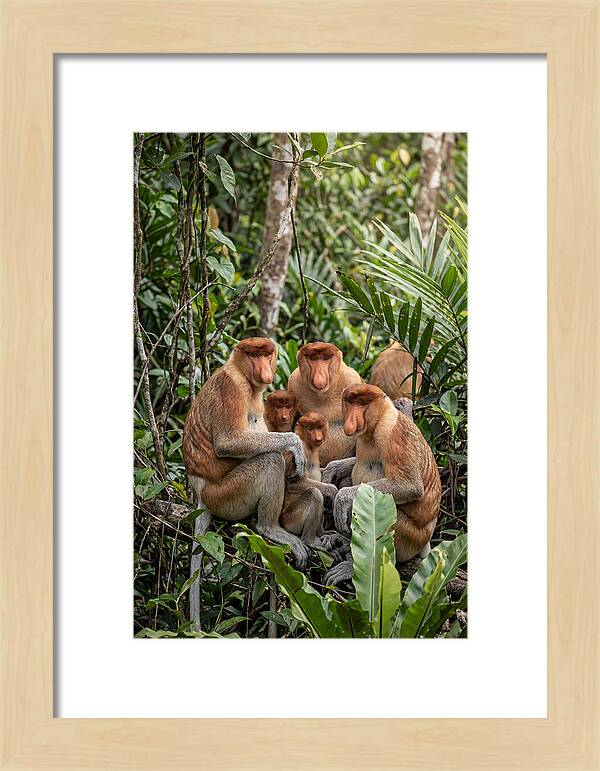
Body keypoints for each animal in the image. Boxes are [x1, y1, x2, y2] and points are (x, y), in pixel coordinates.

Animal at [182, 337, 311, 568]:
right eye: (254, 355)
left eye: (266, 354)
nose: (264, 370)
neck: (241, 373)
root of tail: (200, 491)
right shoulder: (231, 387)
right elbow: (228, 441)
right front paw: (295, 444)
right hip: (225, 496)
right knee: (270, 460)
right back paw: (269, 528)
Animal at [323, 384, 441, 585]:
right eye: (350, 402)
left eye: (363, 404)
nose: (351, 420)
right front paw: (331, 469)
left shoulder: (391, 433)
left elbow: (410, 486)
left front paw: (342, 498)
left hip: (410, 538)